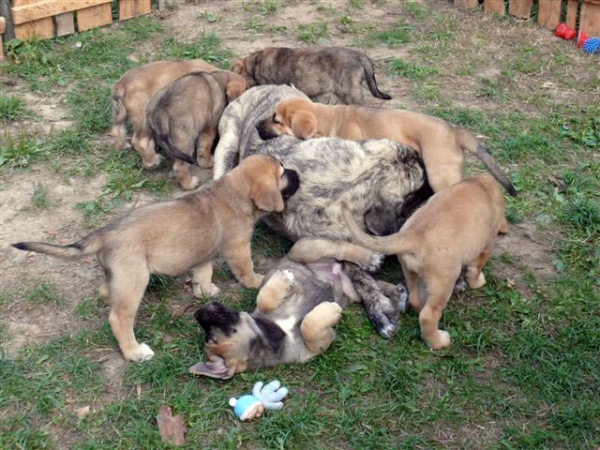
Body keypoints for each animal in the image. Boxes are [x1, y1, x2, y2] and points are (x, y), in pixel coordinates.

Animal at [13, 155, 302, 362]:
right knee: (119, 318)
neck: (235, 191)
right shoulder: (238, 248)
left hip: (119, 277)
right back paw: (135, 353)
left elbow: (203, 273)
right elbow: (246, 269)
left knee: (106, 291)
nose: (298, 173)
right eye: (282, 173)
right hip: (134, 280)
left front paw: (205, 291)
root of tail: (105, 233)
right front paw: (258, 280)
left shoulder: (203, 254)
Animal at [191, 237, 408, 378]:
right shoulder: (316, 347)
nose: (198, 311)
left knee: (341, 247)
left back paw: (372, 257)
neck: (275, 333)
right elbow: (309, 326)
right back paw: (397, 295)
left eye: (209, 337)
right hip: (349, 290)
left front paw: (282, 279)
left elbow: (264, 298)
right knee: (368, 283)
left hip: (306, 249)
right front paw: (329, 310)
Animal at [342, 174, 506, 350]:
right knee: (428, 315)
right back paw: (439, 341)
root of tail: (413, 235)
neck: (481, 184)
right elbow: (476, 268)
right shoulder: (487, 245)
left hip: (410, 272)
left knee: (414, 299)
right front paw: (478, 282)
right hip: (444, 283)